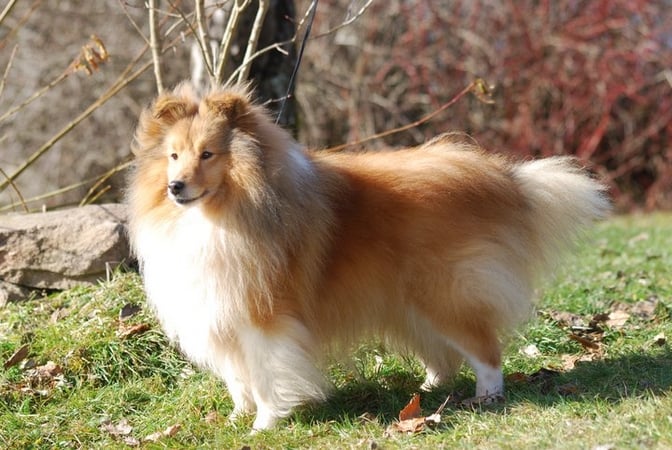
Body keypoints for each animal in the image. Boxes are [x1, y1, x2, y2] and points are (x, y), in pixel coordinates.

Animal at [124, 82, 608, 430]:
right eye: (173, 155)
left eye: (208, 154)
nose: (175, 187)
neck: (223, 213)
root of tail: (501, 178)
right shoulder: (221, 313)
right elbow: (238, 377)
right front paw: (236, 418)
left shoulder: (264, 319)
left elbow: (265, 376)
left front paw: (265, 424)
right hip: (411, 302)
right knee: (444, 353)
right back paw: (428, 388)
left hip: (446, 292)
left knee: (485, 350)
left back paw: (486, 396)